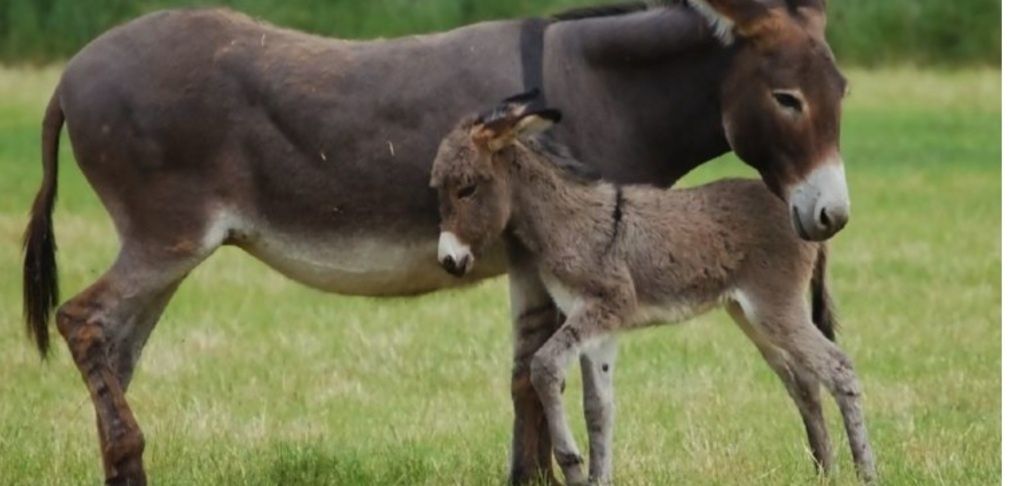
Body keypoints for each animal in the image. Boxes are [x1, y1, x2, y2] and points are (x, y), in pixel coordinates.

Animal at [430, 96, 873, 482]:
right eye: (439, 190)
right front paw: (597, 478)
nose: (449, 261)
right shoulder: (597, 326)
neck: (566, 221)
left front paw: (572, 462)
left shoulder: (606, 306)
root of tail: (802, 220)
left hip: (776, 308)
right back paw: (825, 472)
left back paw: (865, 472)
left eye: (467, 188)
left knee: (839, 368)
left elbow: (544, 367)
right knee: (805, 382)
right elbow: (599, 409)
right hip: (751, 315)